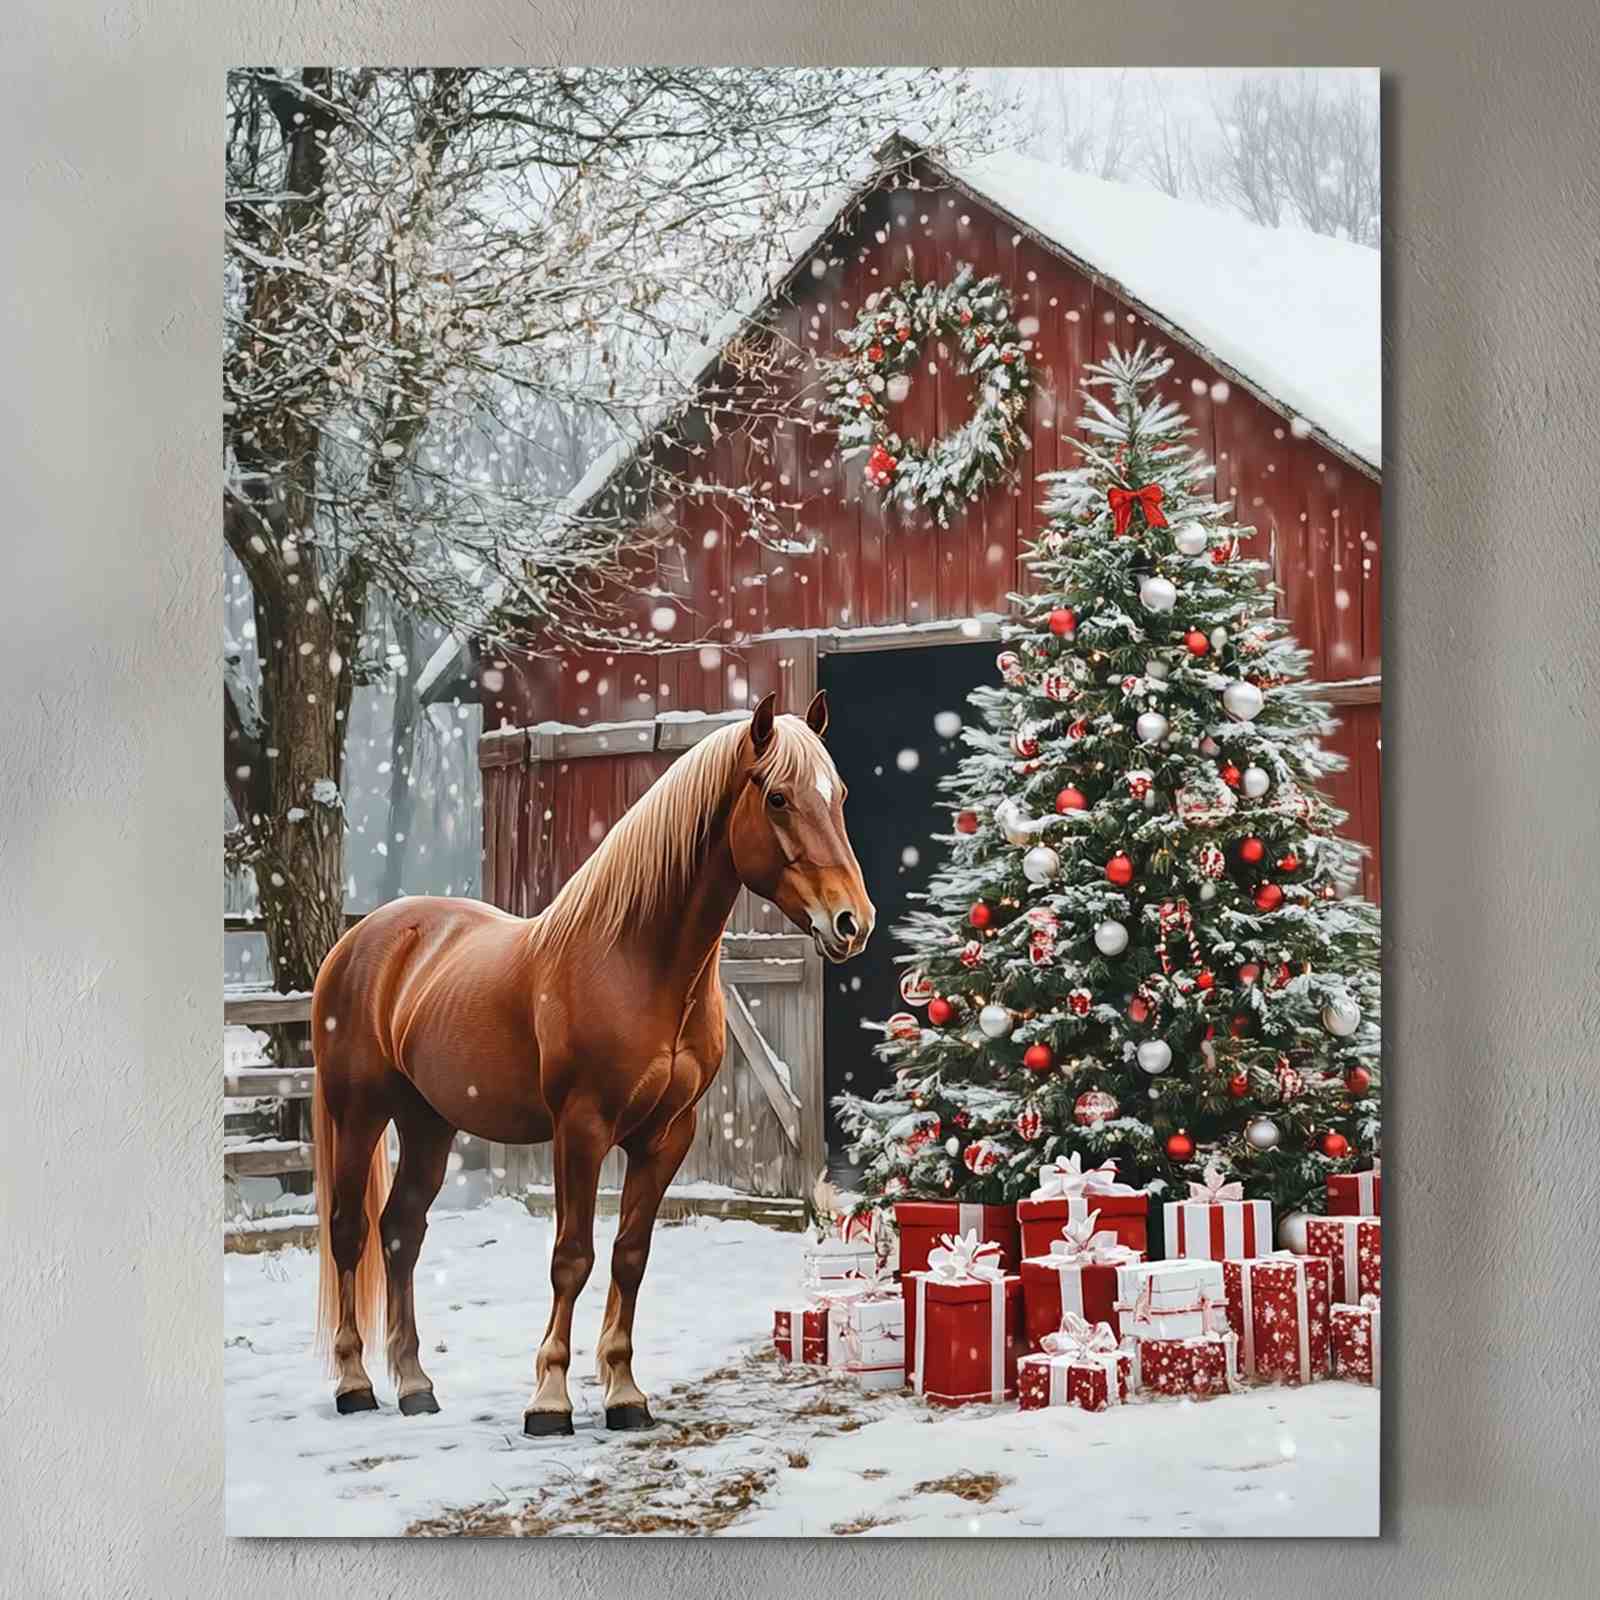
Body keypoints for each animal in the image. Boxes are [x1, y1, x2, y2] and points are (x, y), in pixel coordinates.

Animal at [308, 690, 874, 1434]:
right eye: (778, 798)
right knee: (349, 1233)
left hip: (428, 1121)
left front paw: (624, 1393)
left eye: (839, 795)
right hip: (361, 1113)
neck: (635, 958)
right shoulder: (580, 1129)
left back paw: (415, 1386)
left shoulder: (666, 1136)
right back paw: (353, 1383)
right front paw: (550, 1399)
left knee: (401, 1231)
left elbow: (630, 1256)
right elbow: (572, 1257)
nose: (852, 922)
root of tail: (361, 939)